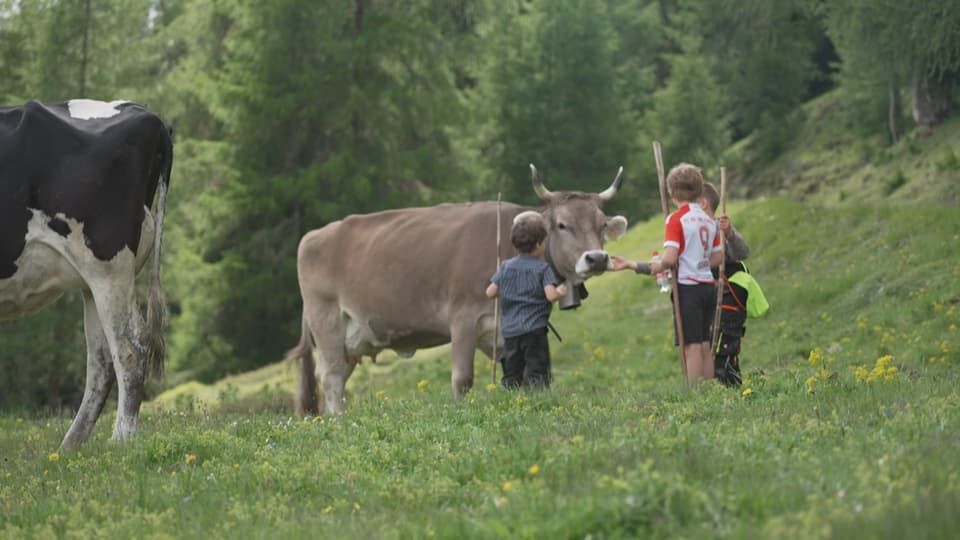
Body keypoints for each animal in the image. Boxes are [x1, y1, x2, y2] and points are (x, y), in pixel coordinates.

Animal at [0, 99, 174, 450]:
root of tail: (144, 113)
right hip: (93, 282)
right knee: (102, 359)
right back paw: (70, 448)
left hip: (107, 266)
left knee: (130, 349)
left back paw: (121, 441)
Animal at [284, 165, 632, 414]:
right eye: (562, 224)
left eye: (601, 224)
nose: (597, 258)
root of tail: (312, 236)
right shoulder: (463, 318)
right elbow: (462, 379)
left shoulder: (501, 331)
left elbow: (516, 375)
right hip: (327, 319)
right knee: (330, 377)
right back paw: (339, 420)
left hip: (351, 338)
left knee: (338, 375)